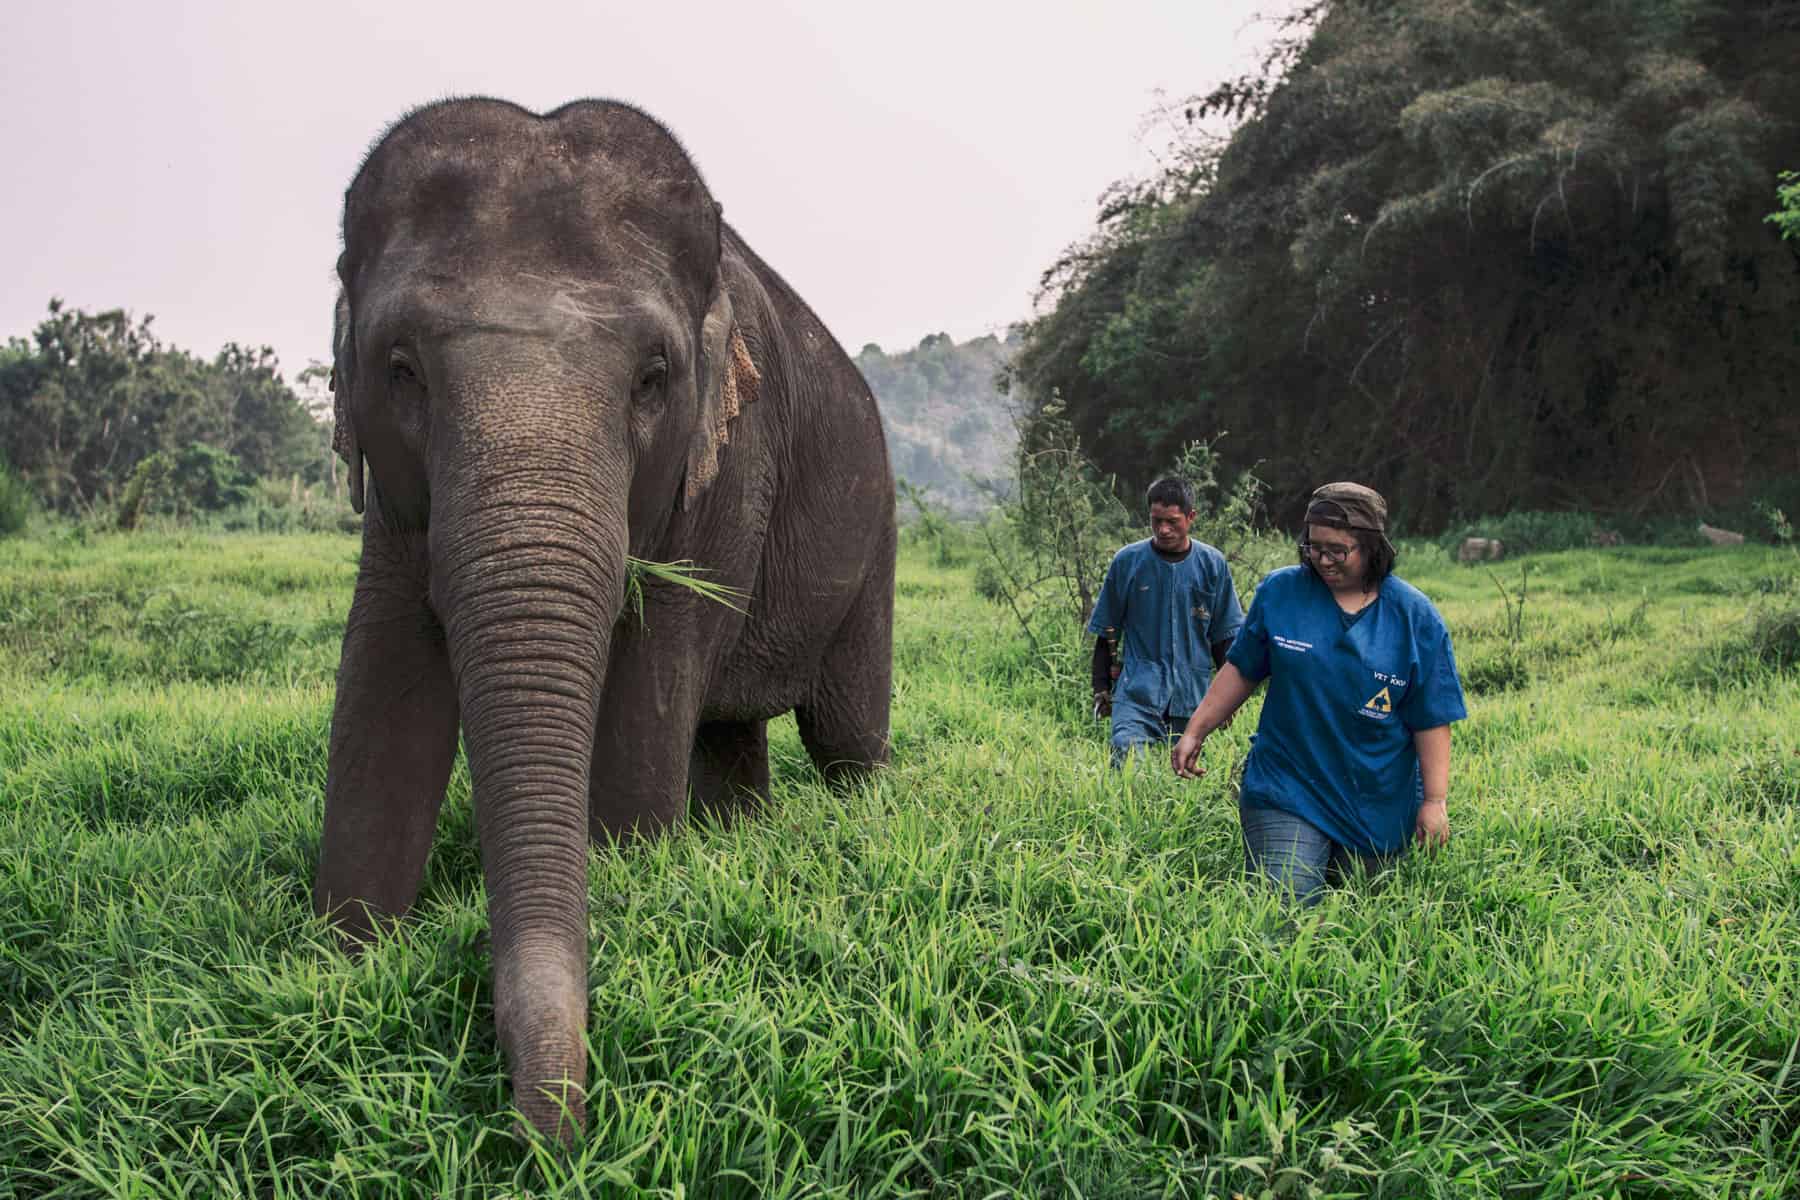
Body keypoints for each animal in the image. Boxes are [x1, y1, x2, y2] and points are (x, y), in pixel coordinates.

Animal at [316, 98, 900, 1144]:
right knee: (728, 738)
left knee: (845, 736)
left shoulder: (729, 466)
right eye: (400, 370)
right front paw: (346, 960)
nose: (550, 1145)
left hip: (875, 532)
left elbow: (644, 702)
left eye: (653, 379)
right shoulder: (391, 505)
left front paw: (636, 877)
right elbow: (382, 695)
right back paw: (738, 838)